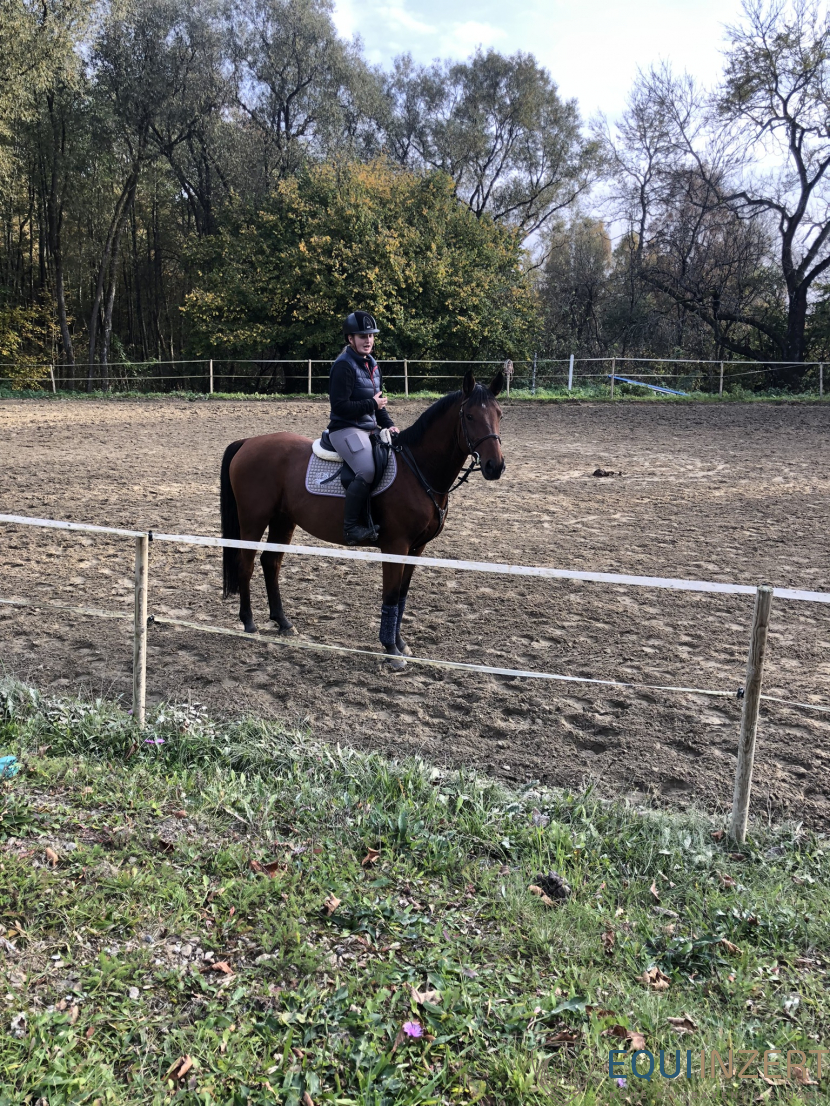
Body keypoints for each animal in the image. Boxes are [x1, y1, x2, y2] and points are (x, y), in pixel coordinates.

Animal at [219, 368, 506, 669]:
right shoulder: (396, 546)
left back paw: (283, 622)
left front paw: (400, 644)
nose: (495, 466)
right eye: (469, 416)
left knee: (270, 563)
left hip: (283, 520)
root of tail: (248, 442)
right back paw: (249, 623)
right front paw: (391, 650)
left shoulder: (417, 548)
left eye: (499, 414)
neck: (417, 469)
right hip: (253, 520)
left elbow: (401, 596)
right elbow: (390, 594)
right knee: (246, 564)